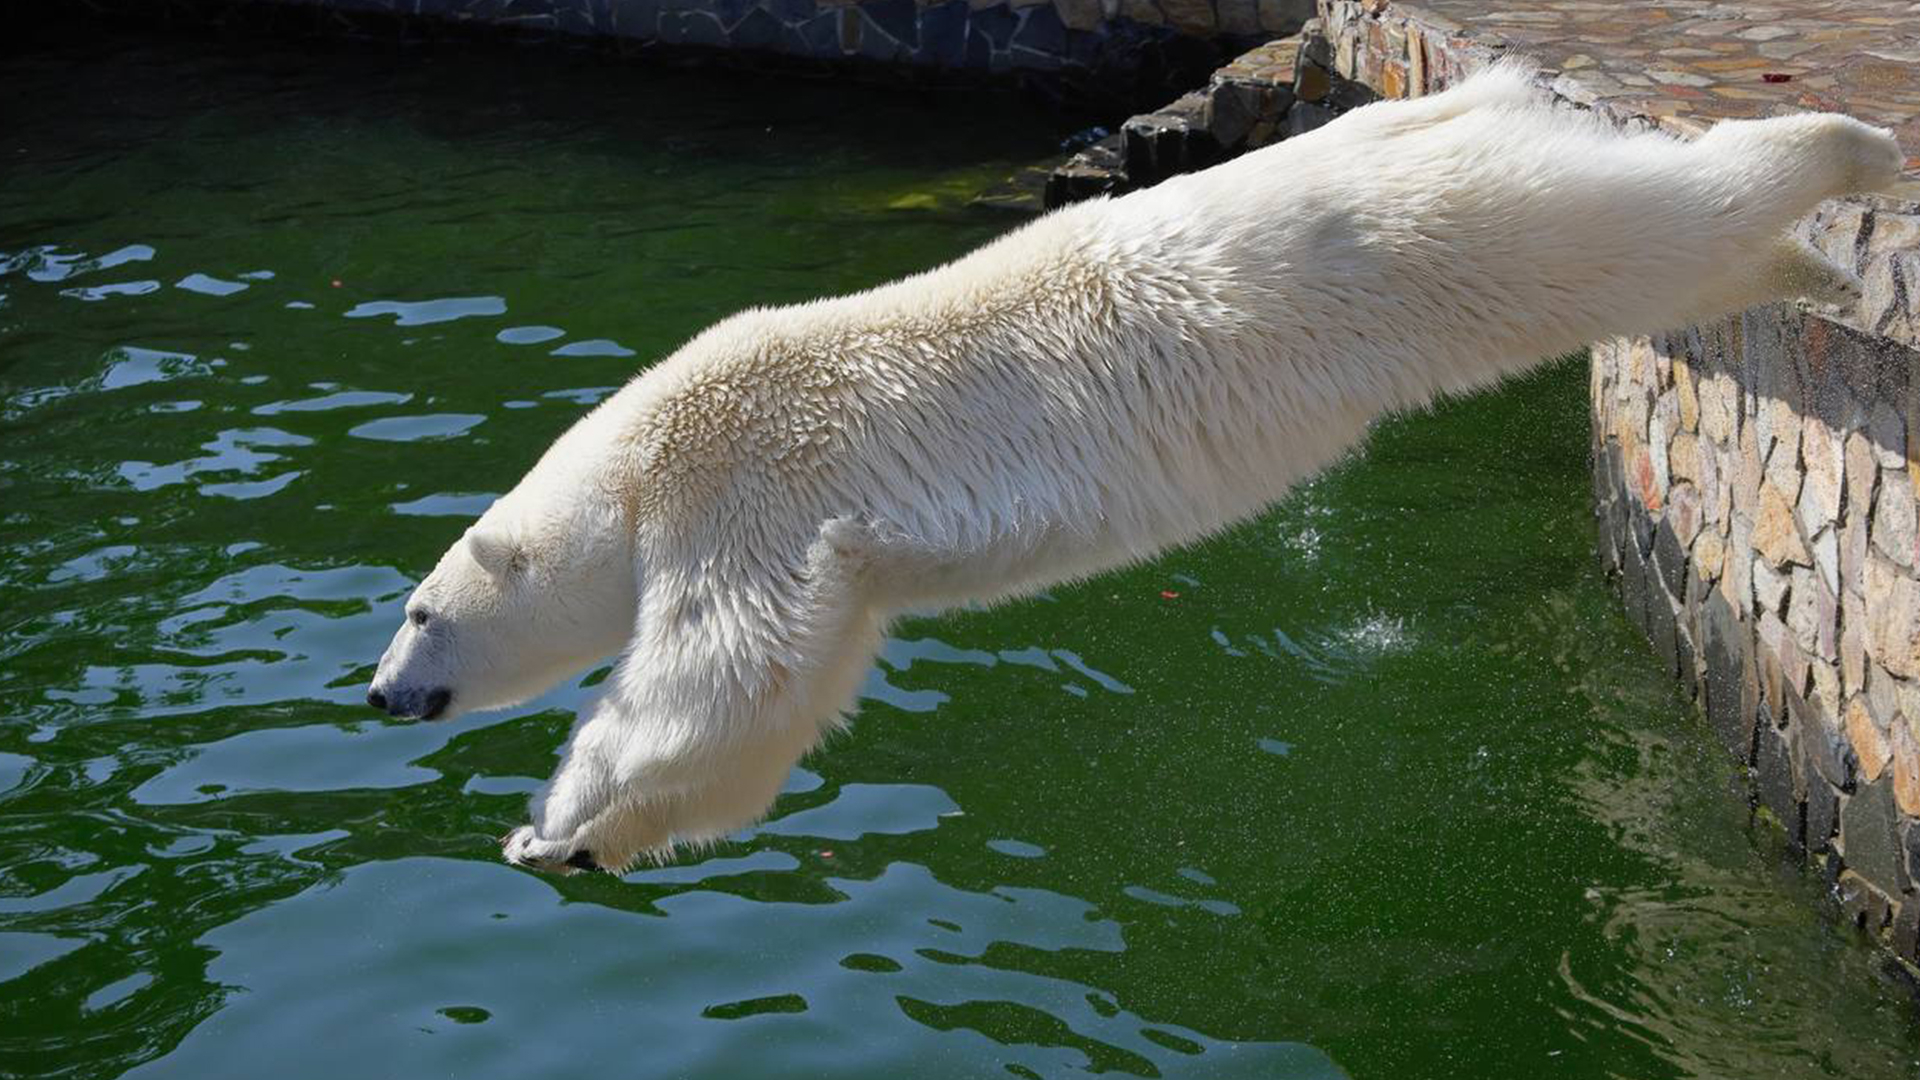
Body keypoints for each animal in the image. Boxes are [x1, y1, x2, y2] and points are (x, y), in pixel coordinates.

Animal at [362, 61, 1904, 876]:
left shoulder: (746, 484)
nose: (379, 694)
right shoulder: (835, 565)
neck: (637, 462)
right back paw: (1812, 263)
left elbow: (719, 675)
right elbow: (787, 697)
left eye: (422, 609)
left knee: (1638, 216)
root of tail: (1465, 90)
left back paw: (1848, 150)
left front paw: (548, 824)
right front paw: (588, 844)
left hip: (1440, 235)